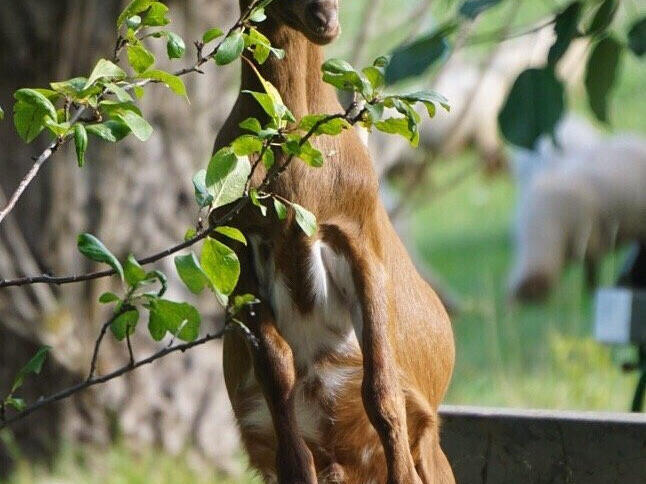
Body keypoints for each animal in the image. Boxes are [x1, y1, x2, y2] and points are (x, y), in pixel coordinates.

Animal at [213, 1, 456, 482]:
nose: (325, 19)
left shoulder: (360, 241)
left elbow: (381, 390)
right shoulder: (240, 252)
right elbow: (278, 372)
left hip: (433, 452)